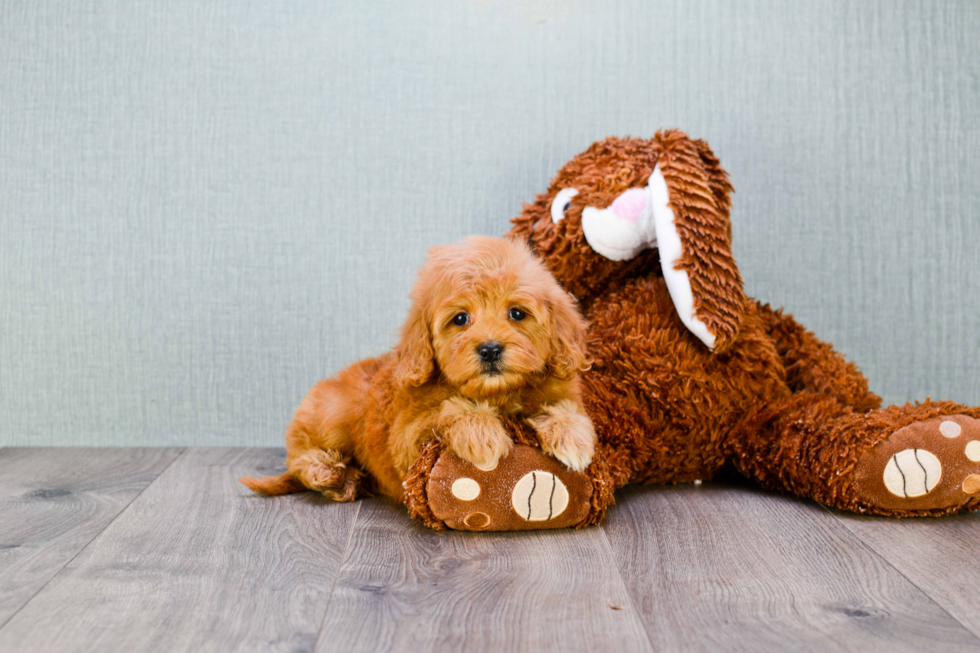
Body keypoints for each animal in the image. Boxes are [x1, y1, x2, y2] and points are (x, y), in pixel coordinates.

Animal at [243, 237, 596, 502]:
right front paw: (481, 434)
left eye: (517, 313)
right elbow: (447, 410)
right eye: (460, 319)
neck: (497, 393)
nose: (490, 348)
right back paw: (327, 472)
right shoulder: (407, 439)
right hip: (333, 414)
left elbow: (565, 409)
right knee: (298, 457)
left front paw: (572, 436)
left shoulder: (559, 391)